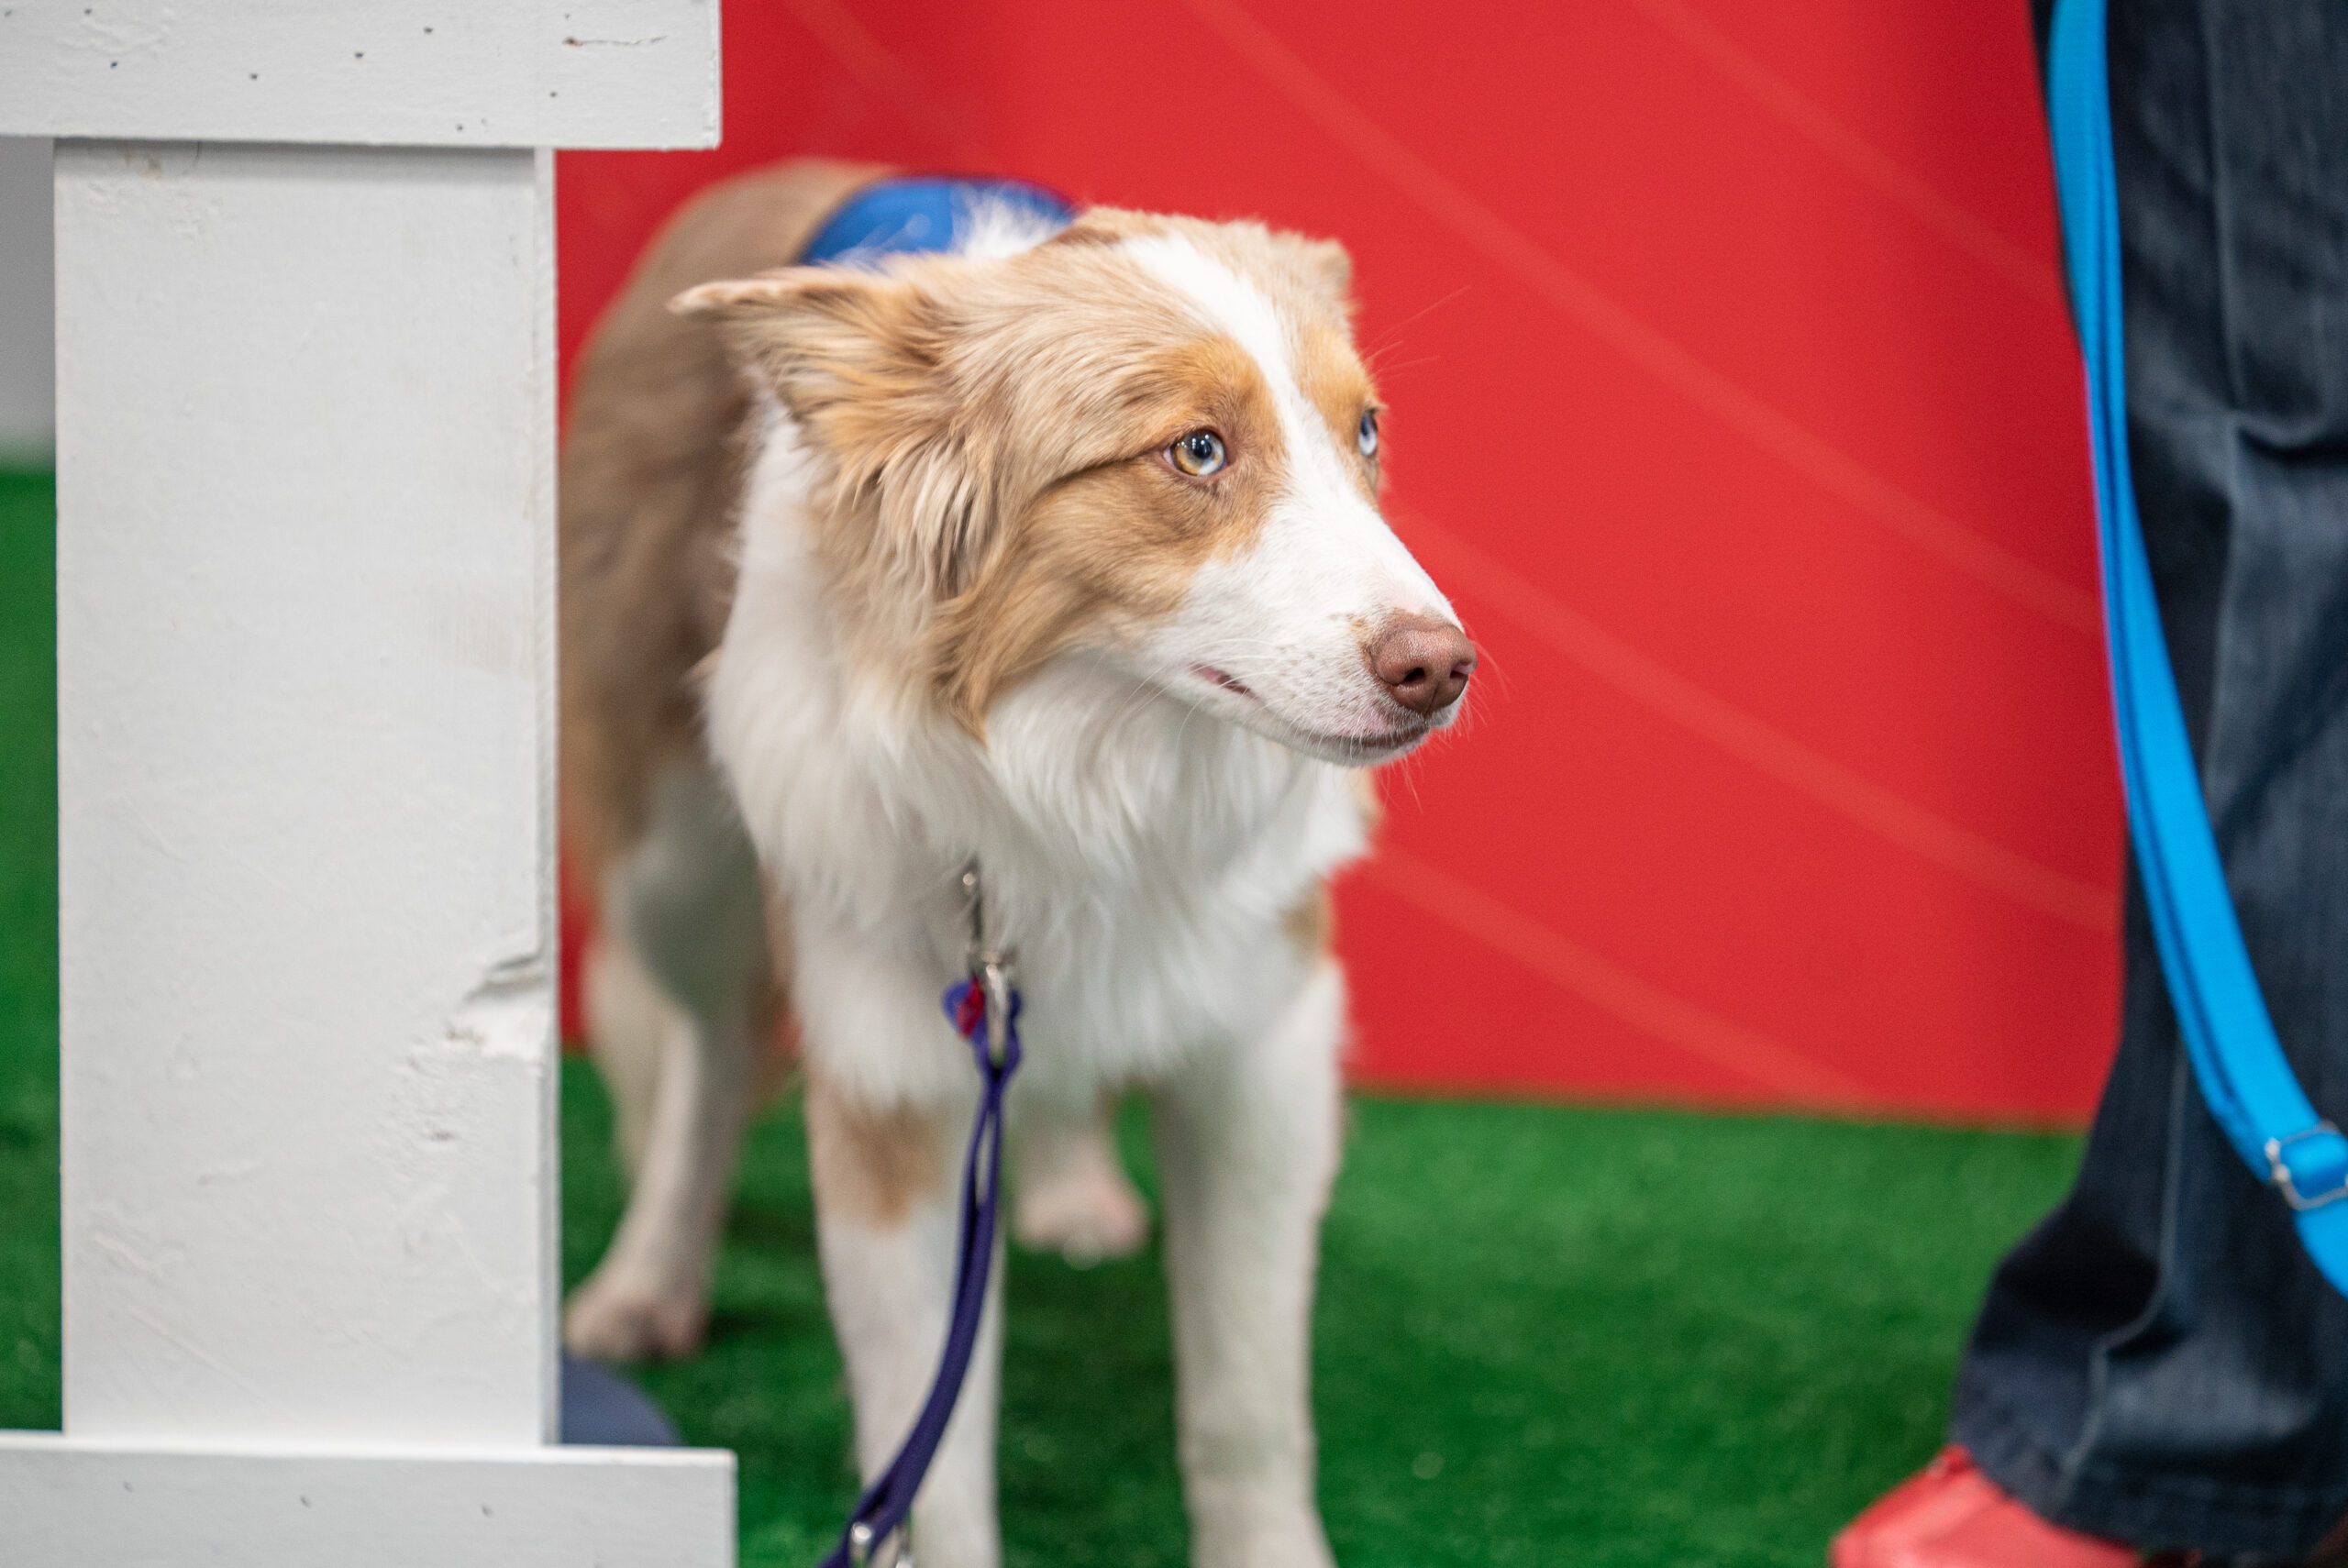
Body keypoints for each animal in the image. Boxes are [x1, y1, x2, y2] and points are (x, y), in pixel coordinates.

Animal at [556, 161, 1465, 1568]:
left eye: (1364, 432)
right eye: (1195, 450)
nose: (1445, 667)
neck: (1092, 769)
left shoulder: (1261, 1041)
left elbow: (1248, 1401)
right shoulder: (890, 1072)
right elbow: (928, 1446)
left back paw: (1069, 1184)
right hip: (671, 853)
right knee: (706, 1058)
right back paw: (647, 1280)